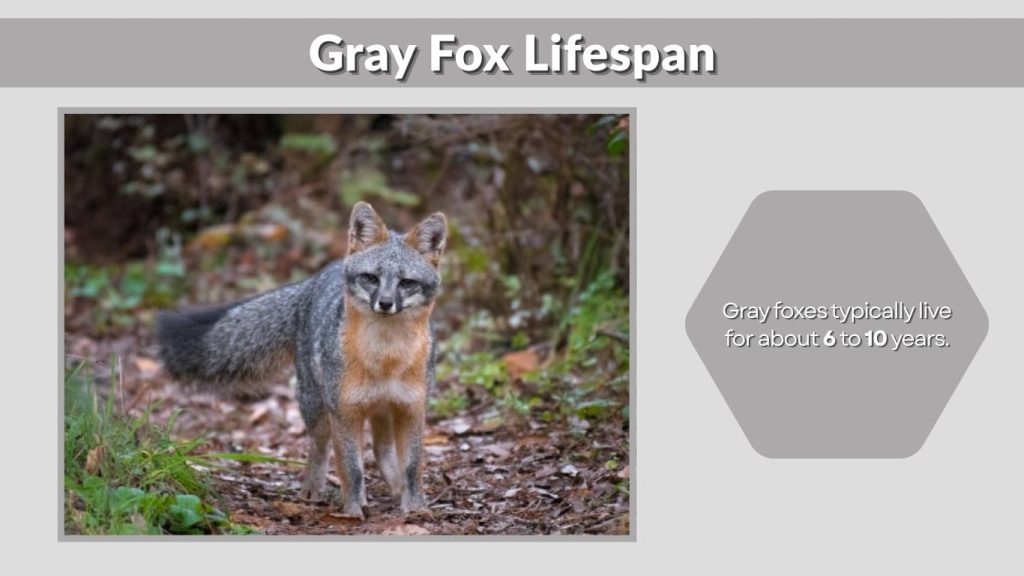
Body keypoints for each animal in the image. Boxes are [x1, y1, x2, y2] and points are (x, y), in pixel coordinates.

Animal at [156, 202, 447, 518]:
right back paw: (314, 489)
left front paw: (415, 507)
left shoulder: (412, 410)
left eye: (406, 283)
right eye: (371, 278)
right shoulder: (344, 412)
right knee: (321, 446)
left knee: (381, 450)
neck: (385, 360)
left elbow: (412, 468)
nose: (385, 303)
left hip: (382, 409)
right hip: (317, 407)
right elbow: (351, 469)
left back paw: (393, 488)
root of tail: (317, 278)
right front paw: (353, 510)